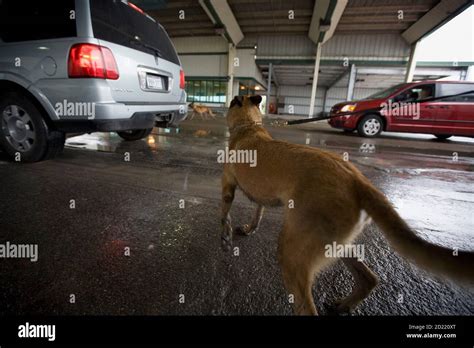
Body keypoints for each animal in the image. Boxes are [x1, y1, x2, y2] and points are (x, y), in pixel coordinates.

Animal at [220, 94, 474, 316]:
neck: (248, 127)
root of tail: (357, 181)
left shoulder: (227, 186)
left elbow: (225, 214)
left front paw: (225, 236)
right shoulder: (261, 197)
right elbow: (258, 212)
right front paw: (250, 228)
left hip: (295, 252)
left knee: (307, 306)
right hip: (337, 242)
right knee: (369, 278)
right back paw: (345, 304)